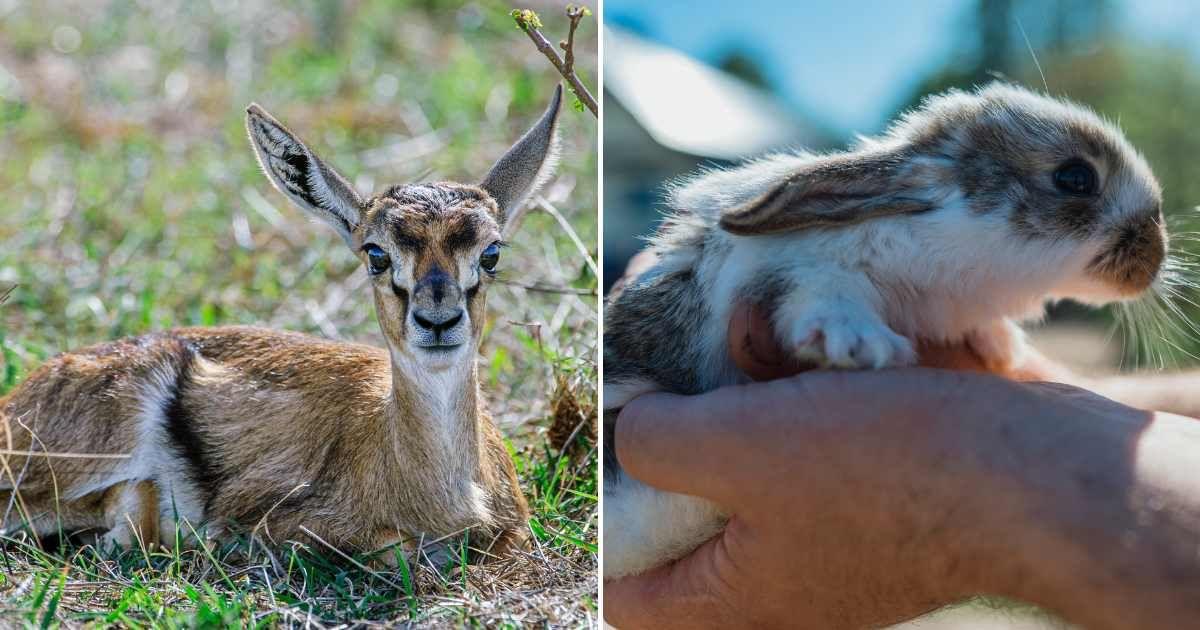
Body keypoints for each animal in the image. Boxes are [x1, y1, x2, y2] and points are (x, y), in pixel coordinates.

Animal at [0, 85, 565, 564]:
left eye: (491, 252)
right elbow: (393, 549)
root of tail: (18, 399)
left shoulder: (513, 531)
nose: (438, 319)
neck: (444, 496)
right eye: (375, 253)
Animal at [602, 83, 1167, 579]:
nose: (1154, 257)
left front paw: (1000, 344)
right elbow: (825, 290)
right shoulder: (795, 269)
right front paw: (860, 344)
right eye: (1075, 178)